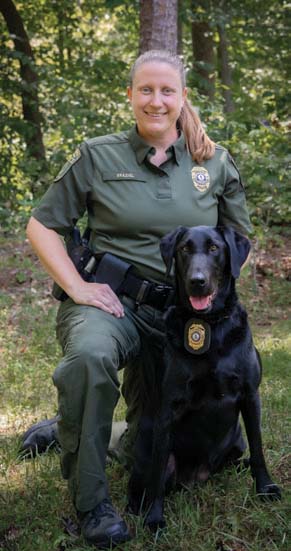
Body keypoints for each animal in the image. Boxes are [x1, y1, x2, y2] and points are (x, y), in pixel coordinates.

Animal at [128, 225, 282, 532]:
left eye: (214, 248)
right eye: (184, 249)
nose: (196, 282)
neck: (209, 325)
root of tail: (198, 477)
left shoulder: (251, 394)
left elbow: (258, 448)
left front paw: (265, 487)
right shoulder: (168, 408)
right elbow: (156, 476)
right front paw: (155, 518)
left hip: (236, 440)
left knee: (238, 458)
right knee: (147, 480)